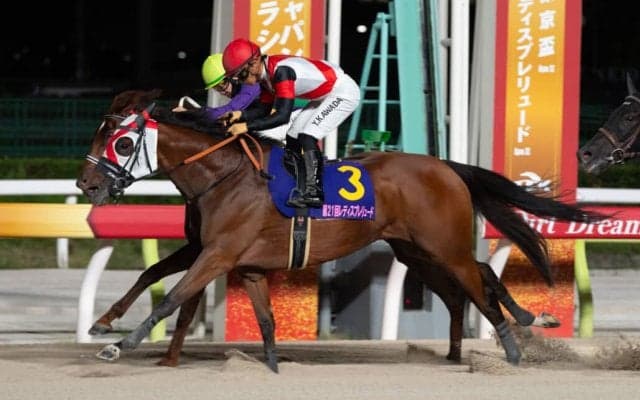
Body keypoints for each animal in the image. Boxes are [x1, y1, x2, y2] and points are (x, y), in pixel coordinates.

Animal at [76, 89, 604, 372]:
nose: (87, 184)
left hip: (442, 246)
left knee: (477, 283)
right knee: (478, 276)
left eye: (121, 142)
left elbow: (171, 296)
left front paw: (118, 344)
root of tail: (447, 166)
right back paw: (504, 331)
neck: (222, 175)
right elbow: (169, 282)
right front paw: (103, 321)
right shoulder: (215, 250)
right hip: (415, 249)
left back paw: (513, 348)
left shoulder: (218, 252)